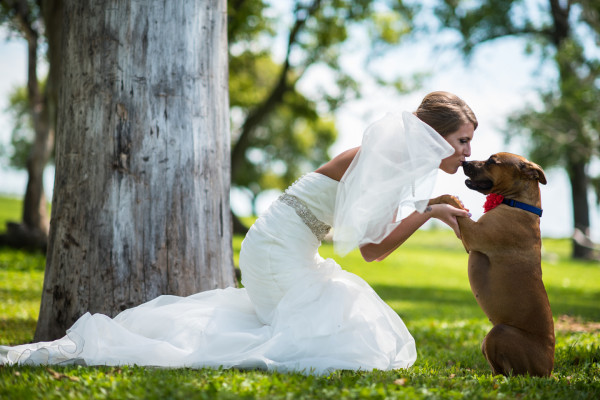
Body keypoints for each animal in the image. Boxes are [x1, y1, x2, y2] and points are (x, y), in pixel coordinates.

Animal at [432, 152, 552, 376]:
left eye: (491, 161)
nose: (465, 162)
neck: (517, 204)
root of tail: (548, 371)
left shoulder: (473, 235)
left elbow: (449, 198)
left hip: (499, 332)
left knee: (509, 373)